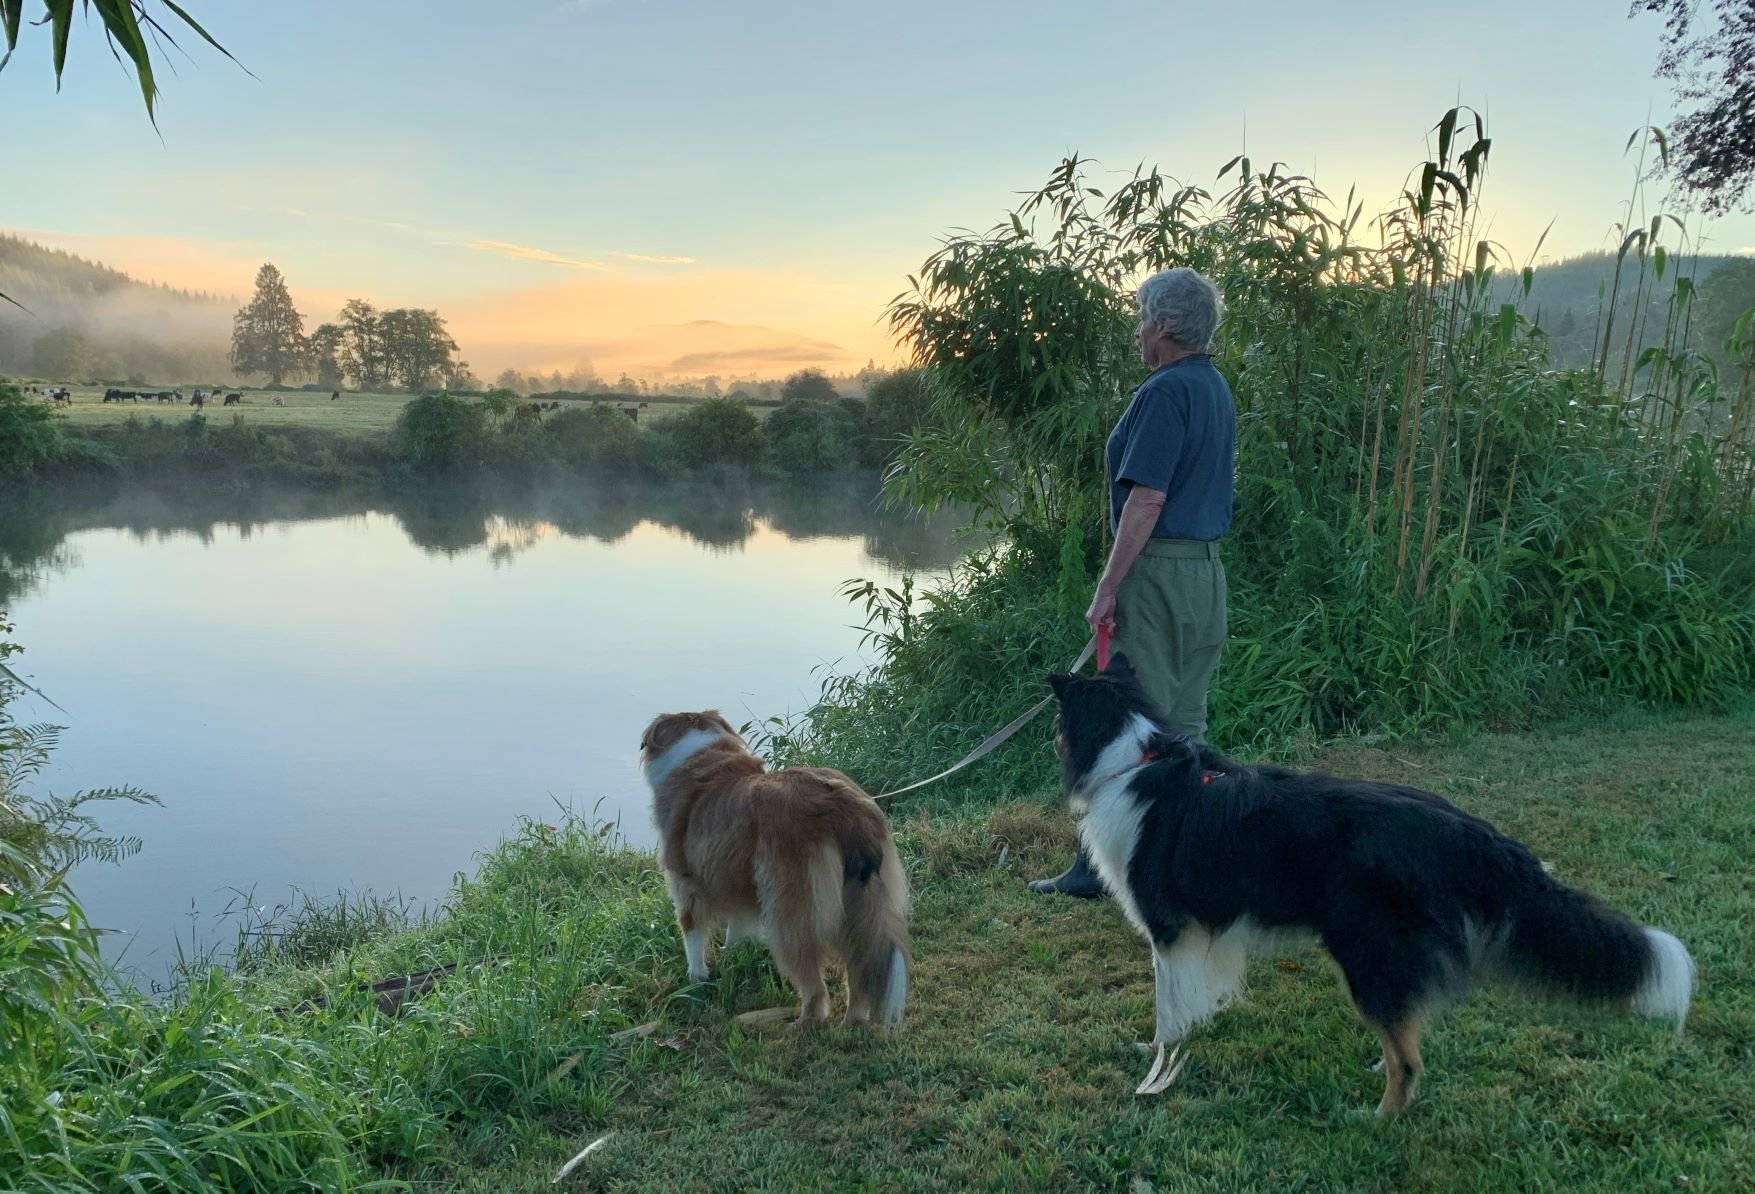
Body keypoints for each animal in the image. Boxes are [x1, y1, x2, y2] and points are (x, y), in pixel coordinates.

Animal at [645, 709, 919, 1025]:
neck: (702, 754)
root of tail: (845, 807)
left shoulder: (685, 882)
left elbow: (691, 933)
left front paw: (696, 979)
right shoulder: (734, 877)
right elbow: (735, 923)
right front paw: (732, 951)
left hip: (789, 912)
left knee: (813, 983)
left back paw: (803, 1022)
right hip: (860, 905)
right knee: (860, 967)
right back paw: (852, 1021)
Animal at [1045, 653, 1691, 1109]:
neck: (1130, 761)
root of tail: (1467, 829)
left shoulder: (1168, 929)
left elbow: (1166, 1008)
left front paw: (1157, 1057)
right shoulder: (1204, 933)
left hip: (1365, 950)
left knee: (1409, 1058)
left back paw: (1377, 1116)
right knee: (1404, 1027)